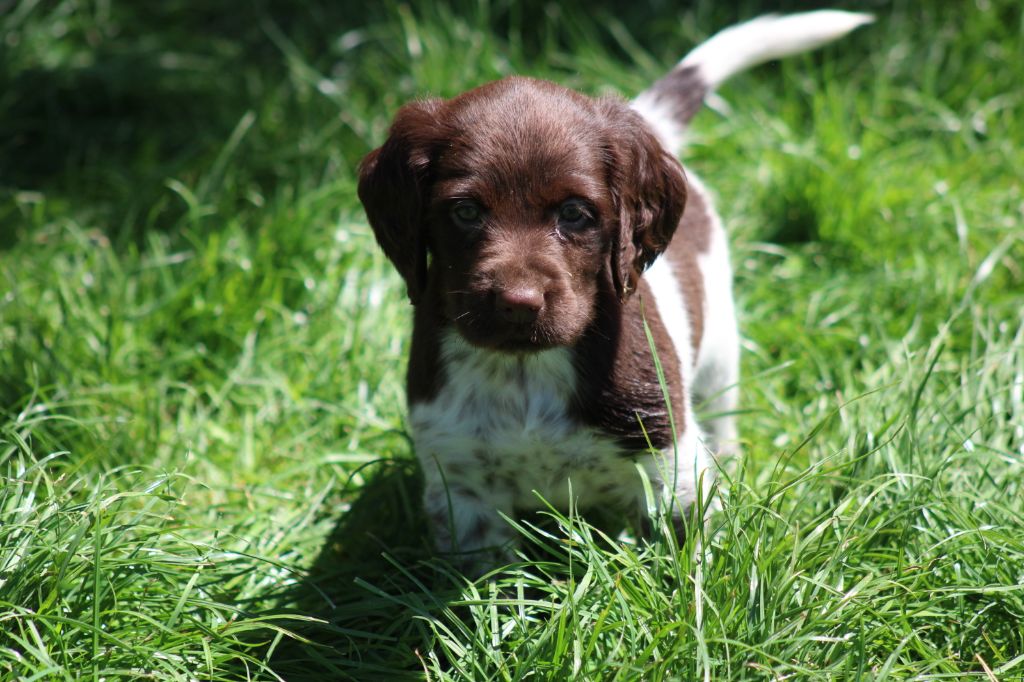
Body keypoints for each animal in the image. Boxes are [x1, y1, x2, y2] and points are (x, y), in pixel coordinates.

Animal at [360, 11, 872, 569]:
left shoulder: (669, 465)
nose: (518, 304)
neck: (526, 371)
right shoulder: (460, 485)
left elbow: (682, 560)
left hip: (719, 354)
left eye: (574, 214)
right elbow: (488, 583)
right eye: (466, 212)